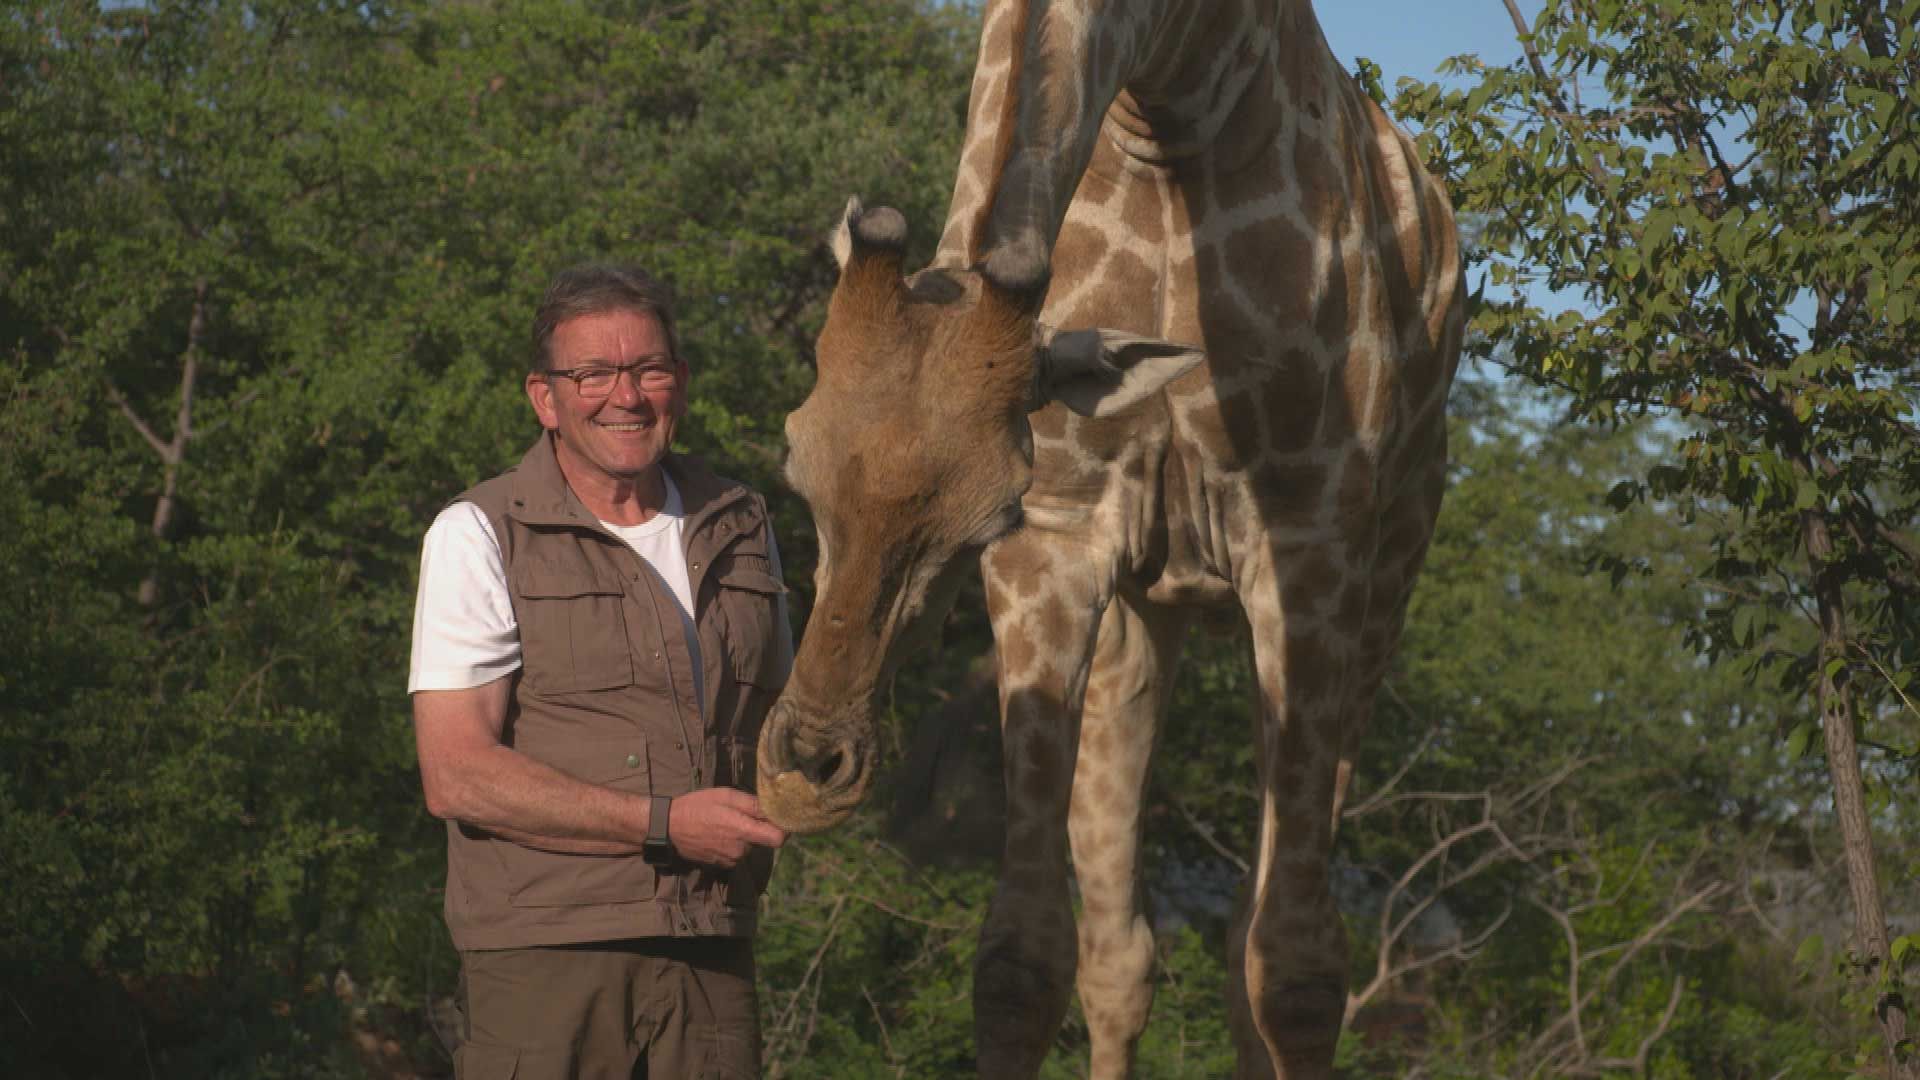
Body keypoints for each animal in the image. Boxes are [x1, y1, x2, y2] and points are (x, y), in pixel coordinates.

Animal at [756, 2, 1459, 1068]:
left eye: (985, 515)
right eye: (796, 466)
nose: (804, 773)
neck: (1167, 101)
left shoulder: (1309, 541)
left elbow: (1297, 973)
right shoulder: (1065, 536)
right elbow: (1021, 960)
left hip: (1384, 590)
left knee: (1257, 944)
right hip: (1144, 618)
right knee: (1122, 952)